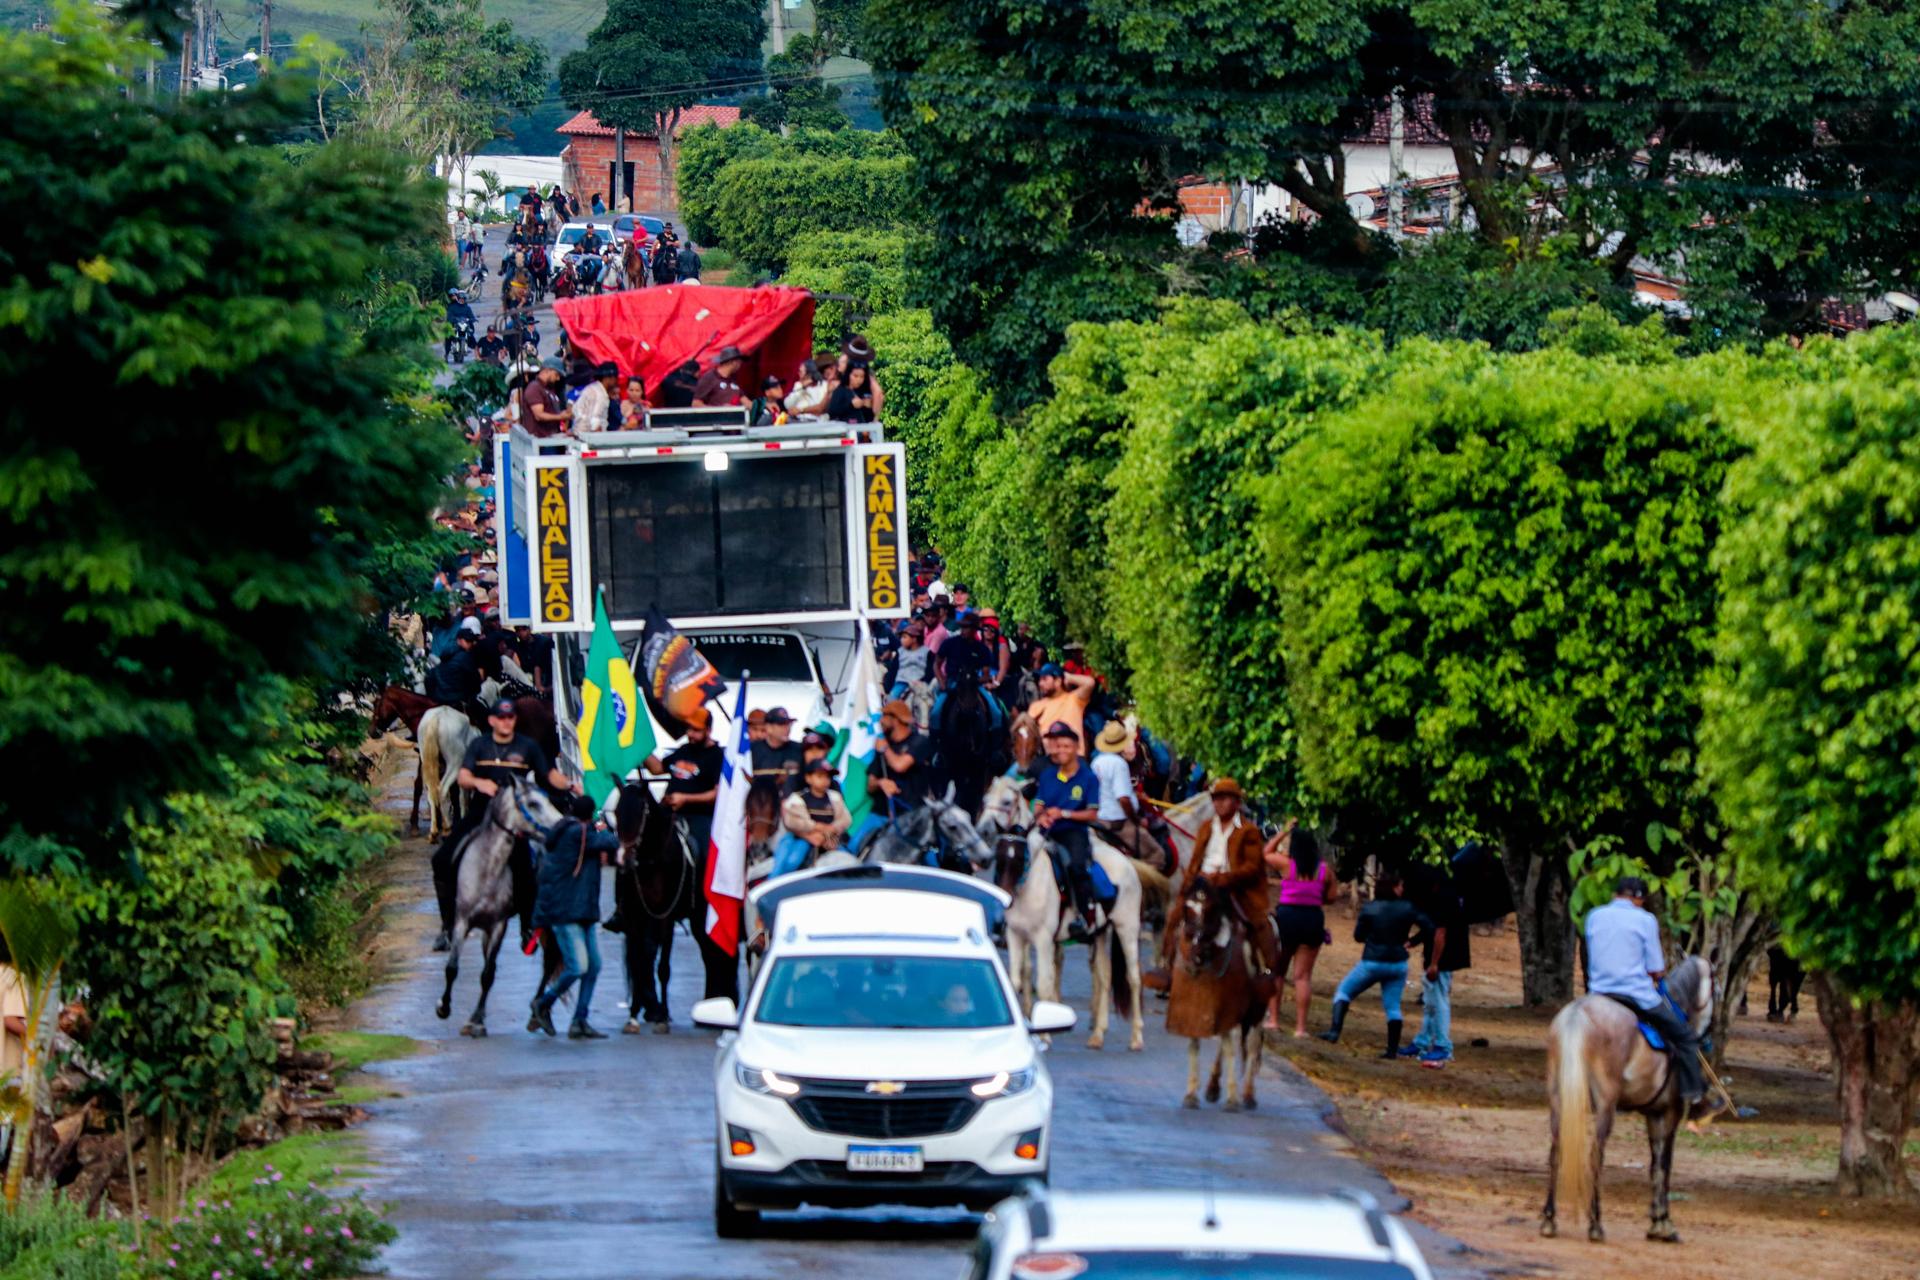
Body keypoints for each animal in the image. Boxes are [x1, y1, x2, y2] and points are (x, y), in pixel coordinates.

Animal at [418, 706, 478, 841]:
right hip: (455, 762)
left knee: (431, 792)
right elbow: (463, 797)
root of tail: (436, 717)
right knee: (442, 789)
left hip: (426, 759)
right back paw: (447, 828)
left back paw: (433, 832)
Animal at [435, 774, 565, 1037]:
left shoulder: (498, 926)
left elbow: (488, 974)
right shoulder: (462, 921)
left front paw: (476, 1020)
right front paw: (444, 1007)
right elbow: (452, 968)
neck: (487, 870)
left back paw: (539, 1015)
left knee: (549, 963)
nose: (561, 825)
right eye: (533, 803)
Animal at [976, 775, 1154, 1052]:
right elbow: (1015, 981)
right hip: (1101, 932)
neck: (1030, 881)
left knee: (1133, 978)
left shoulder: (1043, 939)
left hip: (1127, 928)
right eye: (985, 799)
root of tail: (1127, 861)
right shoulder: (1016, 936)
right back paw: (1098, 1034)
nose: (983, 829)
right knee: (1104, 977)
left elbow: (1044, 985)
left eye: (1006, 801)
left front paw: (1045, 1036)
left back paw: (1136, 1037)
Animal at [1165, 876, 1268, 1110]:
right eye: (1187, 909)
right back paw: (1213, 1087)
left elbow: (1232, 1049)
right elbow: (1195, 1045)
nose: (1196, 955)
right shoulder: (1193, 1012)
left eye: (1211, 910)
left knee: (1251, 1044)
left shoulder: (1229, 1008)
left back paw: (1248, 1094)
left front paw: (1232, 1098)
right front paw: (1191, 1093)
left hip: (1258, 1009)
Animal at [1540, 955, 1713, 1244]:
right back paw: (1596, 1224)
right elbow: (1664, 1165)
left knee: (1556, 1150)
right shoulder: (1670, 1112)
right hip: (1605, 1105)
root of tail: (1576, 1016)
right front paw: (1663, 1223)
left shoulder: (1653, 1114)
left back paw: (1549, 1219)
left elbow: (1654, 1165)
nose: (1705, 1037)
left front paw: (1656, 1220)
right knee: (1595, 1156)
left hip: (1558, 1098)